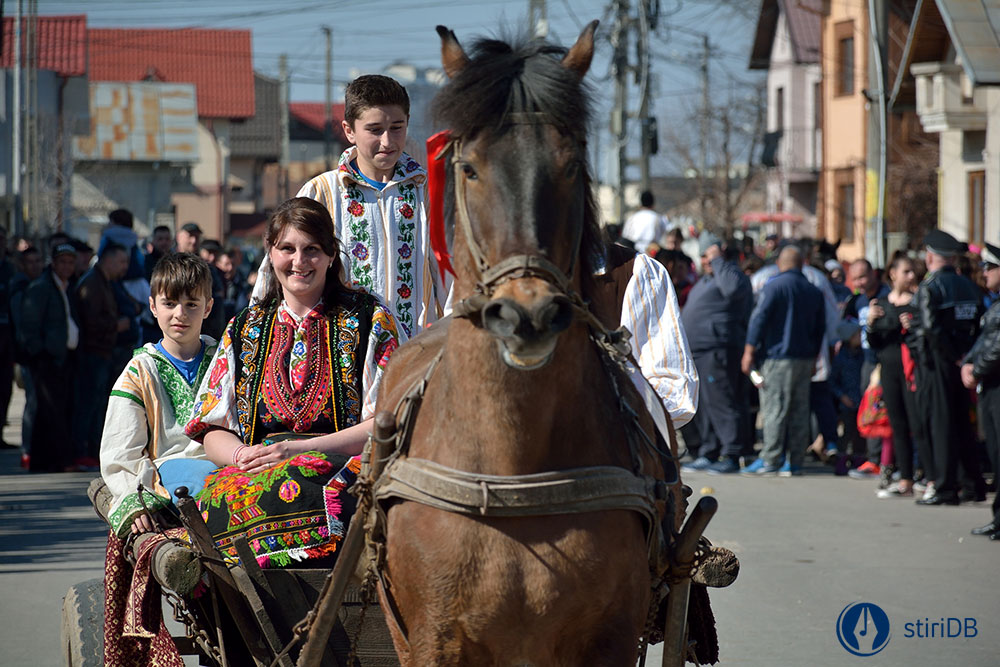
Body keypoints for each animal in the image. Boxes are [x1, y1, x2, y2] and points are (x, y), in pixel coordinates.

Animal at [376, 23, 680, 664]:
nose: (528, 314)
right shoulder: (432, 638)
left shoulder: (611, 640)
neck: (513, 469)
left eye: (570, 164)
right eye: (468, 168)